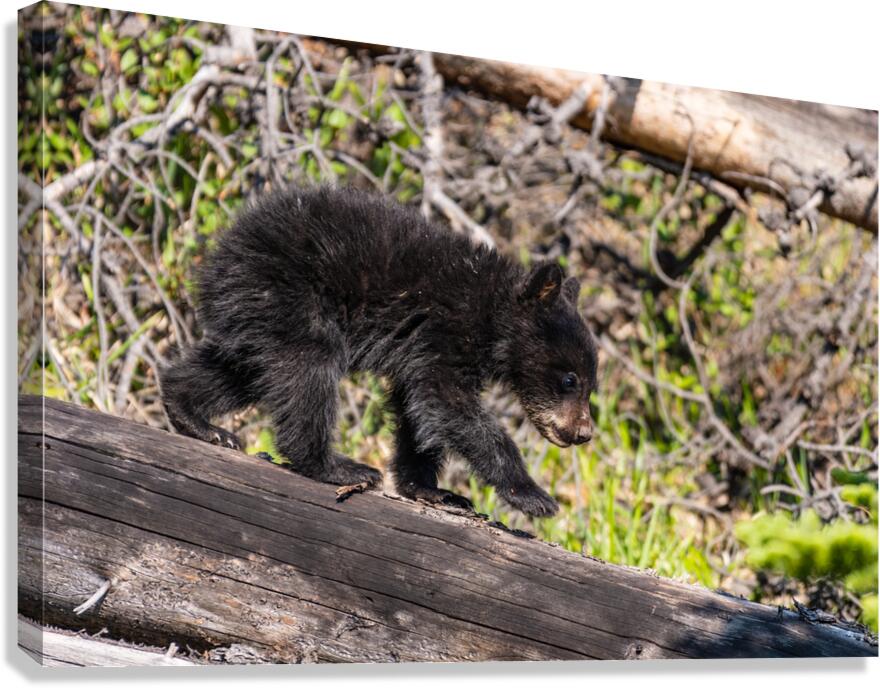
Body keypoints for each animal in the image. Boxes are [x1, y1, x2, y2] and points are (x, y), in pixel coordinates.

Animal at [160, 185, 598, 517]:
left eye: (590, 386)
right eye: (569, 379)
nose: (583, 433)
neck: (491, 315)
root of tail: (221, 251)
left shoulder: (420, 351)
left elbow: (416, 412)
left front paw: (434, 490)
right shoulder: (446, 333)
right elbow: (449, 403)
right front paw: (532, 495)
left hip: (259, 313)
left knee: (241, 369)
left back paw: (196, 419)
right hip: (294, 297)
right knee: (309, 371)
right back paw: (337, 467)